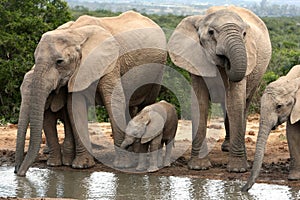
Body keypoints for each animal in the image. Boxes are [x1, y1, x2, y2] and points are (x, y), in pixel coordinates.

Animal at [14, 11, 166, 177]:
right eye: (35, 59)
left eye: (59, 62)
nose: (18, 172)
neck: (75, 33)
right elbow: (74, 107)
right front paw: (82, 166)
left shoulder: (110, 62)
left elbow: (114, 100)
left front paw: (123, 165)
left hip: (158, 69)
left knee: (146, 103)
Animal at [168, 5, 274, 172]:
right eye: (211, 33)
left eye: (244, 34)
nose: (227, 61)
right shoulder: (195, 59)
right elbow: (200, 103)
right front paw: (198, 167)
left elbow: (235, 102)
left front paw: (238, 170)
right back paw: (226, 148)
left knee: (243, 105)